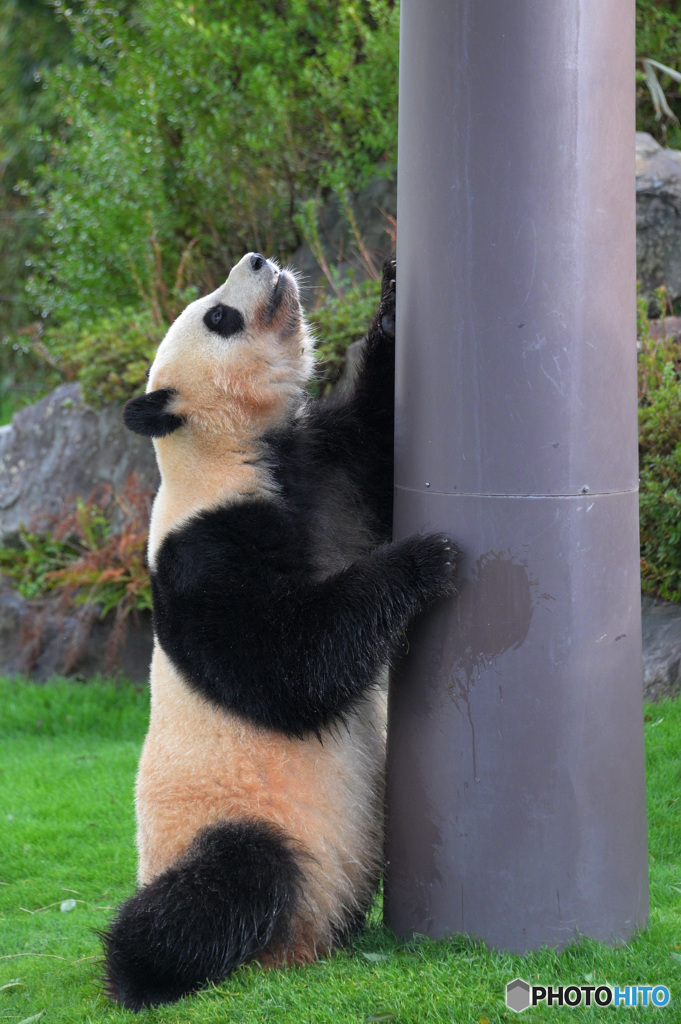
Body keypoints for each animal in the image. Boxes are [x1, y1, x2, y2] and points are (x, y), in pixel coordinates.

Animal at [103, 253, 456, 1007]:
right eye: (219, 316)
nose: (259, 261)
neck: (228, 449)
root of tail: (290, 950)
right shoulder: (200, 549)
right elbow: (285, 665)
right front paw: (423, 560)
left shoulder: (323, 467)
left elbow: (377, 439)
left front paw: (392, 288)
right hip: (224, 822)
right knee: (228, 881)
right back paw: (141, 970)